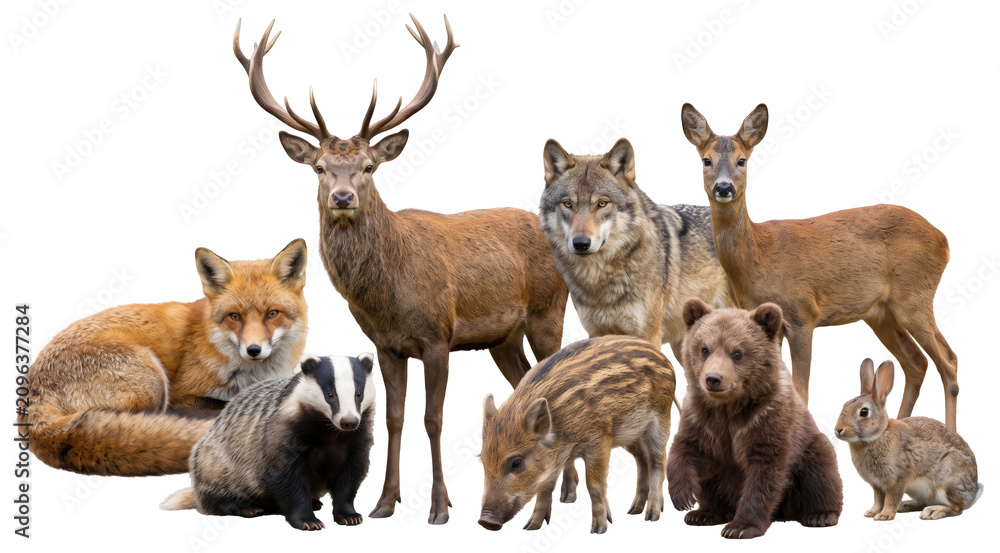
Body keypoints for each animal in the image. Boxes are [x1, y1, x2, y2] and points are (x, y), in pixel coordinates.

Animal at [233, 16, 570, 525]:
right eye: (319, 167)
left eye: (369, 166)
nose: (343, 197)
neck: (390, 295)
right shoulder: (387, 345)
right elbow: (394, 418)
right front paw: (384, 503)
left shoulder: (437, 336)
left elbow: (434, 419)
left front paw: (439, 507)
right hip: (503, 338)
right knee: (527, 386)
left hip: (550, 310)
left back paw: (567, 495)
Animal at [666, 298, 843, 539]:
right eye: (704, 349)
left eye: (737, 353)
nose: (713, 378)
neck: (730, 407)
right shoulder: (702, 417)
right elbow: (687, 448)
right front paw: (684, 496)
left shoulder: (766, 418)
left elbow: (763, 473)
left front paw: (740, 527)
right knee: (711, 485)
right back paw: (703, 514)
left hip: (809, 447)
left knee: (821, 471)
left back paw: (820, 515)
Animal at [680, 103, 959, 430]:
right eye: (706, 160)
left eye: (741, 160)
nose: (723, 187)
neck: (760, 258)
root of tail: (944, 240)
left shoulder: (803, 314)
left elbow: (802, 392)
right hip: (881, 313)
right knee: (916, 362)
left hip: (914, 296)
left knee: (948, 361)